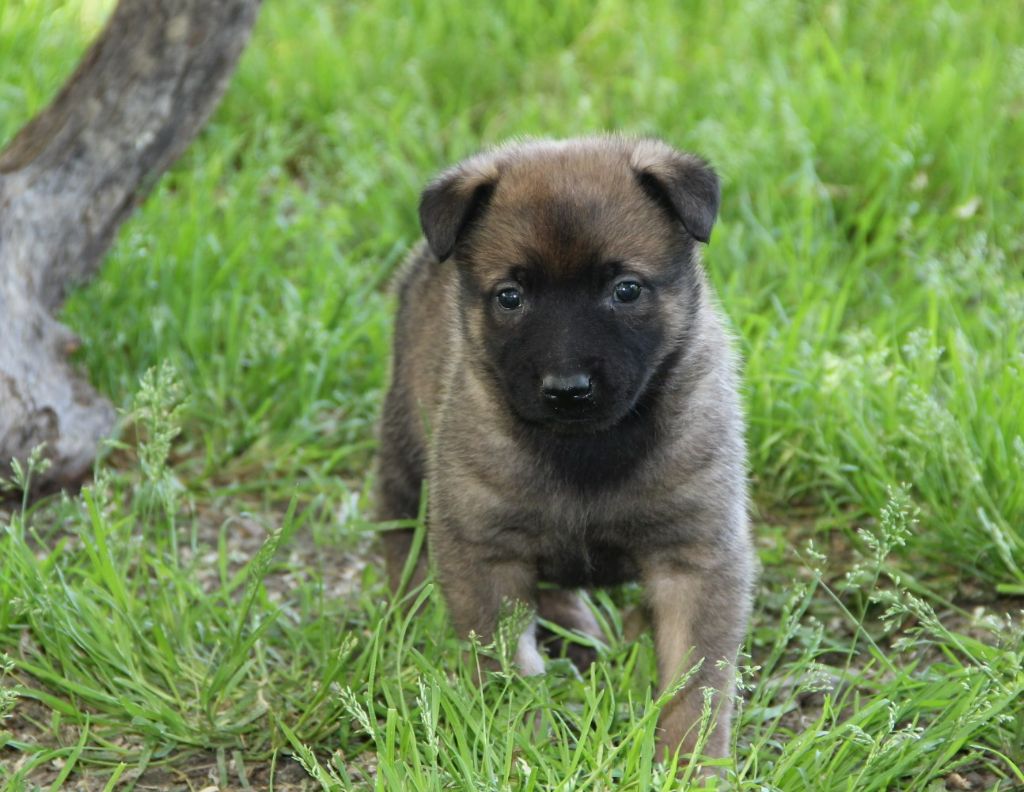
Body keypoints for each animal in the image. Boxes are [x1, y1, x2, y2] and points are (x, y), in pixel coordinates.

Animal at [374, 135, 754, 764]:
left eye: (626, 290)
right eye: (510, 297)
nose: (568, 389)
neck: (587, 451)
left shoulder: (694, 559)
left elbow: (694, 689)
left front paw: (687, 765)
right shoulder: (486, 553)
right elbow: (509, 671)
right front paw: (522, 748)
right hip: (406, 446)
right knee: (397, 526)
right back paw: (408, 614)